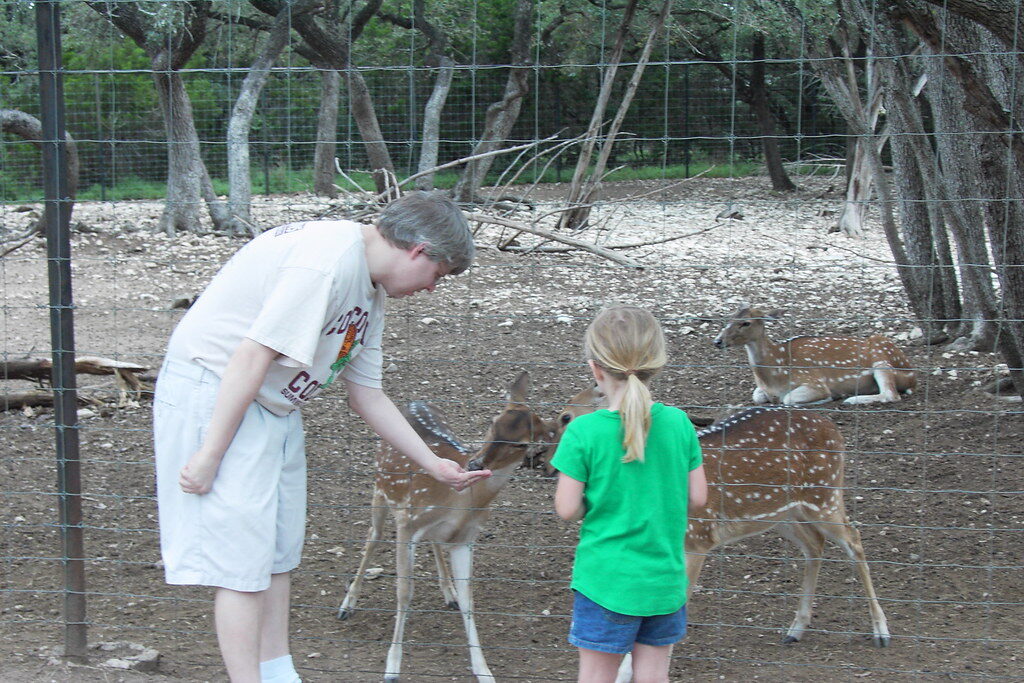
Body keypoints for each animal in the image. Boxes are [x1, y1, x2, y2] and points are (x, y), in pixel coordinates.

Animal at [337, 371, 551, 682]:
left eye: (522, 443)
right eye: (493, 421)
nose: (475, 463)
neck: (464, 502)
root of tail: (413, 401)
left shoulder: (466, 538)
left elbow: (469, 600)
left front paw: (484, 670)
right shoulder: (408, 522)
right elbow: (404, 592)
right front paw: (392, 667)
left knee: (434, 542)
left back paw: (448, 593)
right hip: (380, 488)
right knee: (373, 537)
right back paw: (347, 605)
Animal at [551, 387, 891, 661]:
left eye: (566, 416)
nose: (550, 462)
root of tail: (835, 429)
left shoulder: (697, 537)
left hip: (825, 494)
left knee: (853, 538)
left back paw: (881, 632)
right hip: (782, 512)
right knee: (814, 545)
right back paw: (795, 630)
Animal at [713, 305, 916, 405]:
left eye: (746, 323)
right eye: (729, 318)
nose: (718, 341)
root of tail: (913, 376)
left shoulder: (814, 381)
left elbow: (788, 399)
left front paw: (829, 397)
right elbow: (757, 396)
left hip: (882, 362)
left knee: (891, 394)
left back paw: (850, 399)